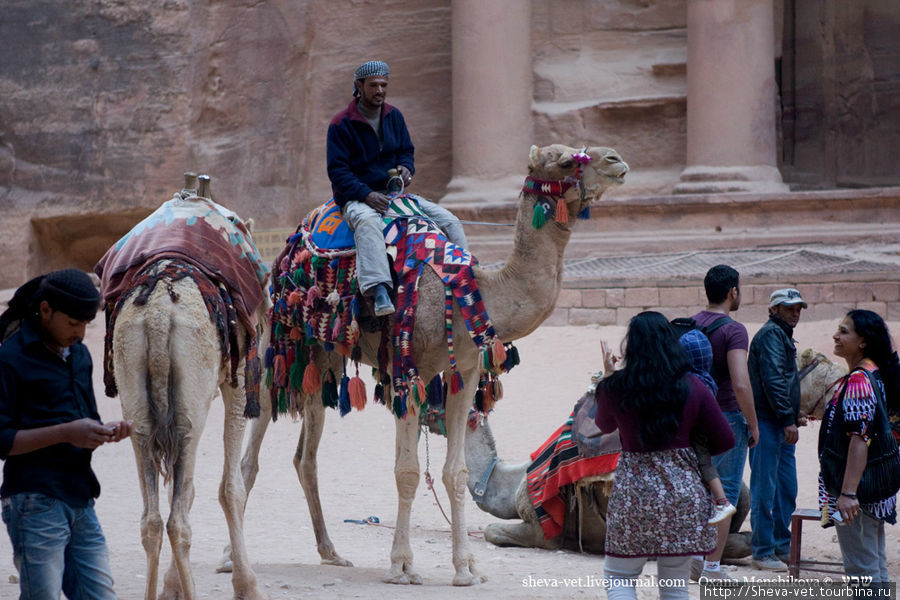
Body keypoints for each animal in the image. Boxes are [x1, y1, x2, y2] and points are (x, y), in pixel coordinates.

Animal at [98, 178, 268, 600]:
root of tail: (159, 313)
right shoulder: (238, 381)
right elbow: (230, 488)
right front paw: (248, 587)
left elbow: (188, 490)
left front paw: (169, 587)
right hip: (192, 403)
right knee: (178, 519)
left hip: (137, 399)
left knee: (153, 518)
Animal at [234, 143, 632, 584]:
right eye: (564, 160)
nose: (616, 160)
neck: (465, 294)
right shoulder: (410, 372)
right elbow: (407, 472)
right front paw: (401, 566)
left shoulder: (464, 373)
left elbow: (455, 473)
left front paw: (466, 569)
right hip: (274, 342)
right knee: (250, 455)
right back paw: (232, 561)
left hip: (323, 361)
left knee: (305, 457)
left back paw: (331, 553)